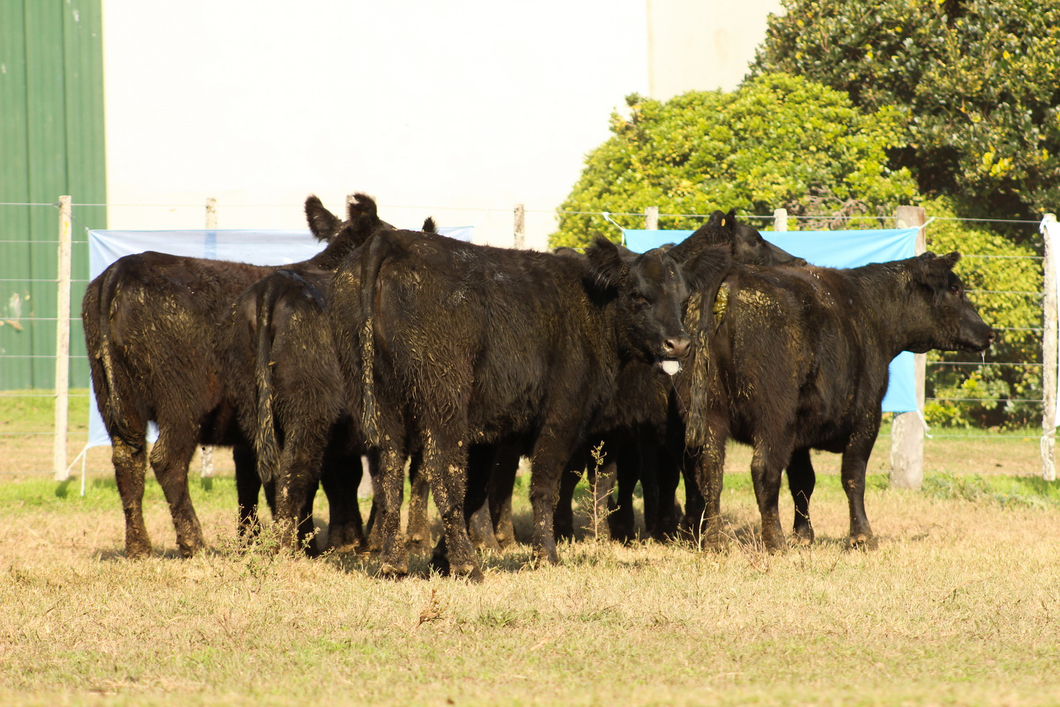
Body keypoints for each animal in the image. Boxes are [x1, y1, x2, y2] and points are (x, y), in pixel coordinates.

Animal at [81, 195, 364, 559]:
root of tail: (121, 270)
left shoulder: (250, 436)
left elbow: (251, 483)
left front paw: (251, 541)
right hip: (181, 403)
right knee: (167, 460)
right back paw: (194, 543)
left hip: (115, 400)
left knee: (128, 460)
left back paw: (139, 547)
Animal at [339, 226, 729, 580]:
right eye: (638, 295)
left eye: (683, 298)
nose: (678, 343)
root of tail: (393, 239)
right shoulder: (561, 417)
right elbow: (544, 488)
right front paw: (546, 556)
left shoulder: (489, 433)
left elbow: (476, 491)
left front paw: (439, 560)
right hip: (442, 399)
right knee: (442, 471)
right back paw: (468, 565)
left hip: (383, 404)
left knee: (389, 476)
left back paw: (394, 564)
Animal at [678, 251, 992, 551]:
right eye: (955, 288)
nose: (989, 332)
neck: (871, 313)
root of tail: (732, 276)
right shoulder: (867, 417)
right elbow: (853, 477)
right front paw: (862, 537)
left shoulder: (799, 436)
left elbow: (803, 481)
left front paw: (803, 536)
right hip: (774, 416)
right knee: (764, 469)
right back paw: (775, 542)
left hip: (711, 414)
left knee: (710, 471)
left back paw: (715, 541)